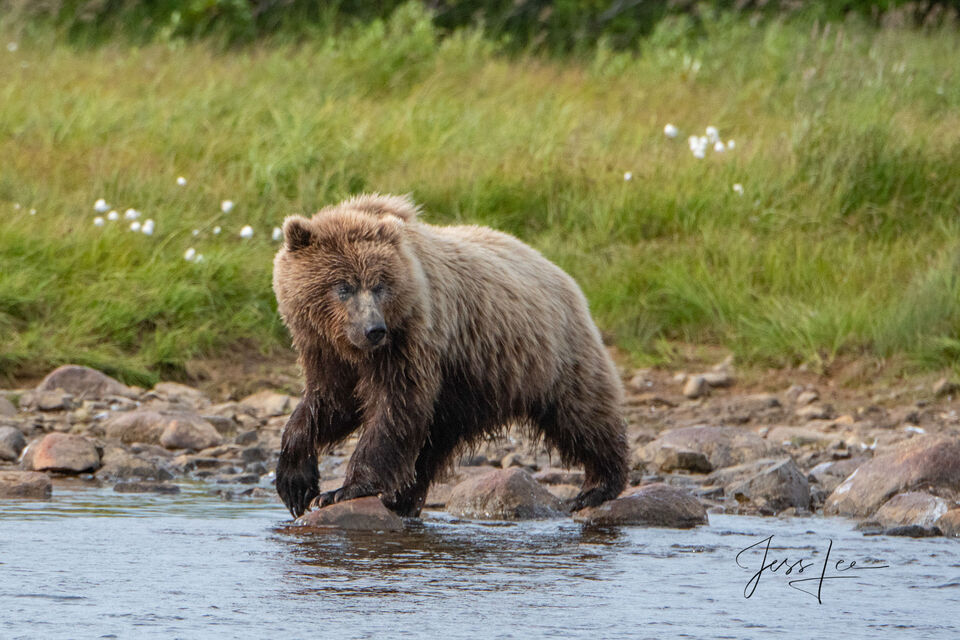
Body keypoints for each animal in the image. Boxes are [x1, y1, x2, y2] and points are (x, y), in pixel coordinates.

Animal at [273, 193, 628, 519]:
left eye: (379, 285)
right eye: (343, 286)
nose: (374, 329)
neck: (353, 348)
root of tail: (562, 273)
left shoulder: (411, 339)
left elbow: (393, 407)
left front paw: (343, 490)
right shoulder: (325, 350)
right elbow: (329, 404)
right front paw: (296, 483)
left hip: (549, 355)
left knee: (583, 415)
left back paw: (598, 485)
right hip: (465, 391)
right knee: (433, 445)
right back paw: (402, 498)